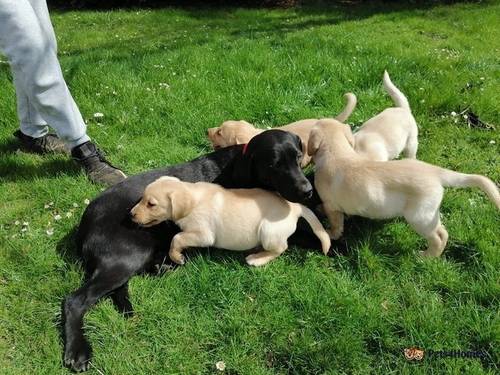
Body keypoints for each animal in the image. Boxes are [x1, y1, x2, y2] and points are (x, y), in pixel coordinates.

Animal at [131, 177, 330, 268]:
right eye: (142, 199)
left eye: (151, 204)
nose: (131, 214)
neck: (193, 200)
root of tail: (296, 208)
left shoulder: (204, 235)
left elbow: (177, 238)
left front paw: (176, 257)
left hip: (269, 232)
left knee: (281, 248)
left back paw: (257, 259)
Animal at [306, 119, 498, 258]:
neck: (337, 151)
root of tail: (435, 171)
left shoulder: (332, 205)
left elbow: (336, 223)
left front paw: (330, 232)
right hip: (430, 213)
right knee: (443, 232)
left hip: (419, 216)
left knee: (438, 237)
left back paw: (426, 257)